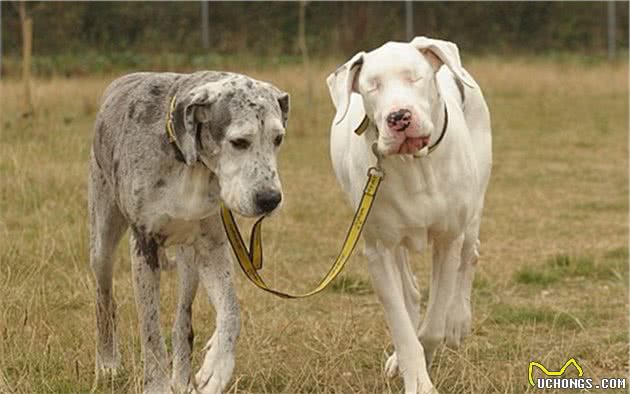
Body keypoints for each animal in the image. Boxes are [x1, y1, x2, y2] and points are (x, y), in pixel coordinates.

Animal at [89, 71, 292, 394]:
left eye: (278, 139)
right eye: (239, 142)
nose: (270, 199)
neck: (186, 161)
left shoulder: (212, 247)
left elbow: (231, 311)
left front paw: (217, 366)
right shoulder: (144, 247)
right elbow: (150, 332)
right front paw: (156, 386)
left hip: (189, 262)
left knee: (183, 320)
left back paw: (182, 379)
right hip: (102, 244)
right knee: (104, 299)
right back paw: (107, 364)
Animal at [328, 36, 496, 390]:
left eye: (415, 77)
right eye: (372, 86)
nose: (399, 117)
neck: (414, 165)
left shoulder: (447, 240)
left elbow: (432, 326)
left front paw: (435, 340)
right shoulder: (378, 251)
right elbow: (403, 327)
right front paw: (415, 377)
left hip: (473, 207)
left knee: (469, 254)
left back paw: (458, 321)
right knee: (410, 290)